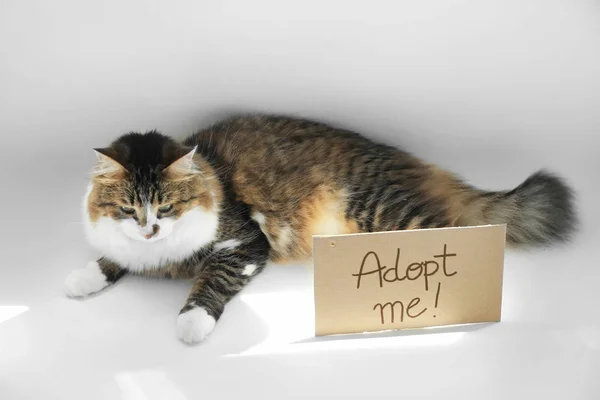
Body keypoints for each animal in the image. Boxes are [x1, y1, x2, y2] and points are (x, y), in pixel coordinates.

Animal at [64, 113, 576, 344]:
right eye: (129, 210)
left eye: (166, 207)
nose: (150, 230)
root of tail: (398, 159)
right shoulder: (130, 247)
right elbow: (110, 261)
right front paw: (80, 280)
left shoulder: (243, 242)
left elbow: (211, 283)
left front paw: (191, 324)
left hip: (385, 215)